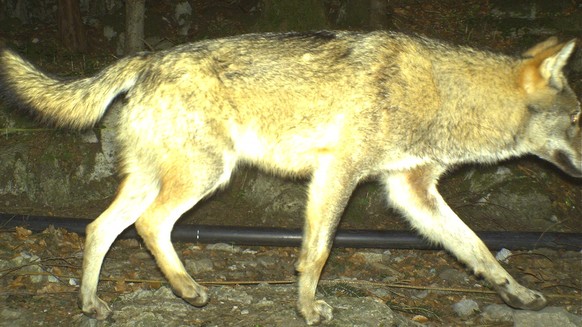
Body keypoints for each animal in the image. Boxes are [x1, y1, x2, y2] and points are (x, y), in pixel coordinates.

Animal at [1, 31, 582, 326]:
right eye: (578, 119)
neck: (443, 95)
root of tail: (145, 60)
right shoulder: (337, 173)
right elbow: (317, 253)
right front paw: (306, 308)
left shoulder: (411, 191)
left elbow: (478, 248)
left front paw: (519, 294)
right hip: (205, 176)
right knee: (148, 226)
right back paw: (188, 290)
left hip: (157, 179)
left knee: (98, 228)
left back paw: (91, 305)